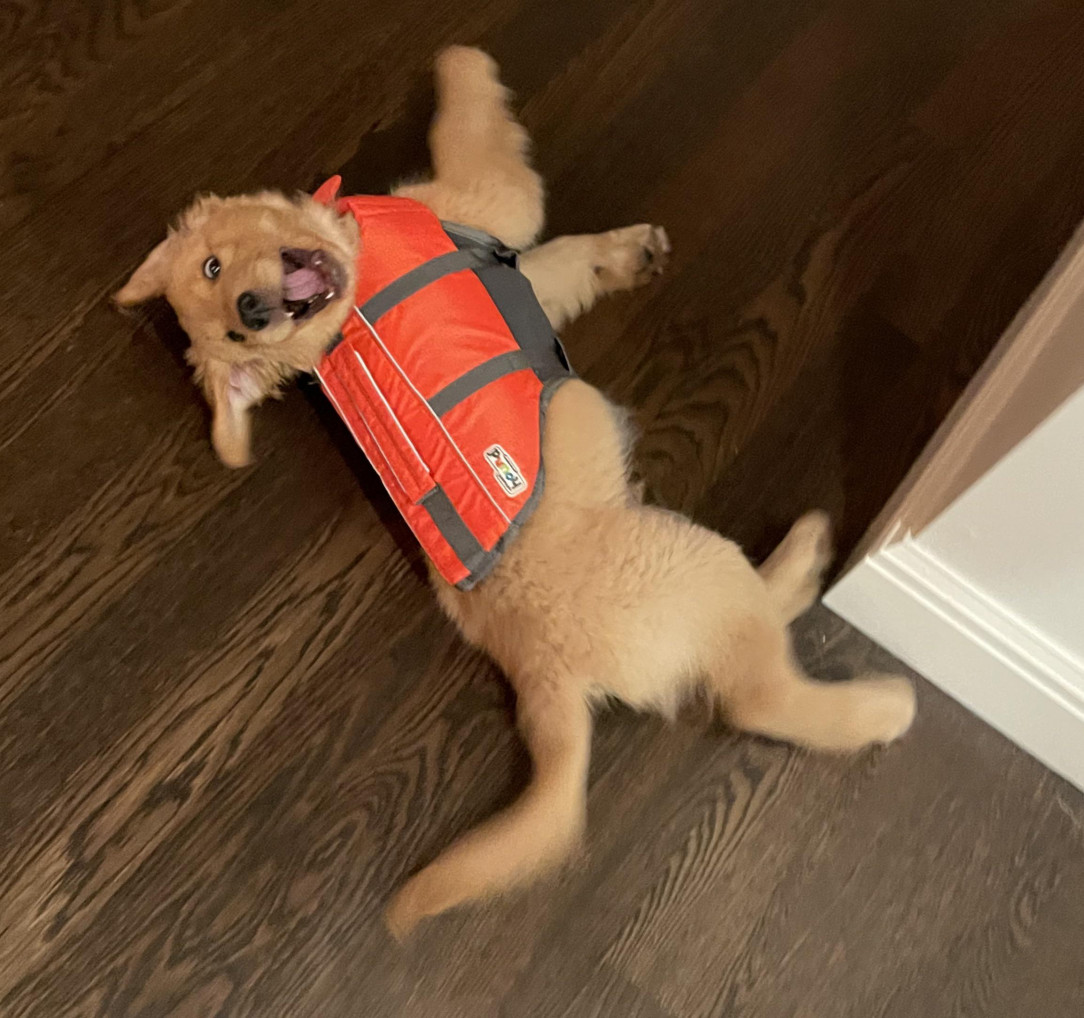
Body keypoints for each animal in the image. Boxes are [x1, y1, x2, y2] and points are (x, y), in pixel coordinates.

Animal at [116, 45, 914, 941]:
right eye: (225, 306)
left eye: (218, 277)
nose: (252, 312)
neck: (343, 299)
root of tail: (545, 674)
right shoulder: (489, 201)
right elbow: (476, 129)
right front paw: (460, 62)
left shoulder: (519, 262)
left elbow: (569, 254)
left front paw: (628, 252)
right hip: (693, 563)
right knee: (756, 695)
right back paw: (851, 647)